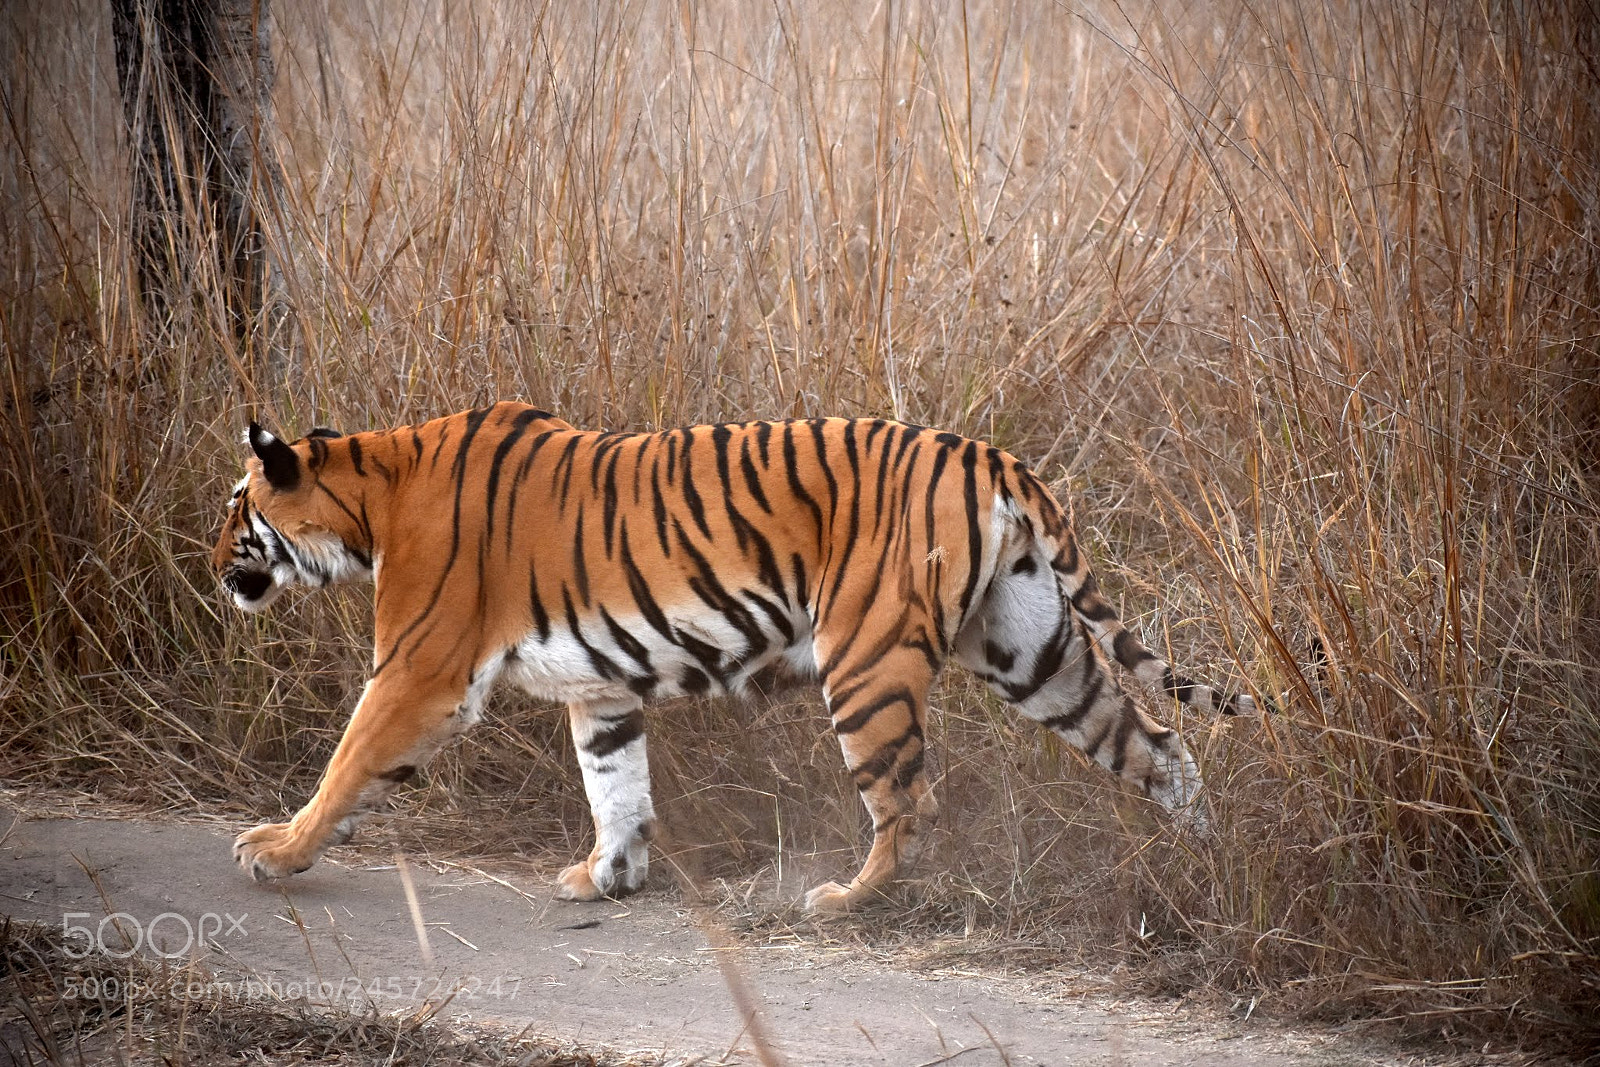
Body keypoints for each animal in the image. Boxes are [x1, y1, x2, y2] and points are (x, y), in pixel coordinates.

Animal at [213, 401, 1257, 912]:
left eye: (237, 506)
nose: (207, 556)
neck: (372, 497)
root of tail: (993, 456)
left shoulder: (418, 672)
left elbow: (348, 762)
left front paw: (276, 850)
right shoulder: (601, 690)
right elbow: (616, 785)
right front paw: (608, 877)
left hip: (866, 660)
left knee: (908, 800)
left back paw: (842, 900)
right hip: (1031, 649)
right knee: (1159, 746)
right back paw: (1207, 862)